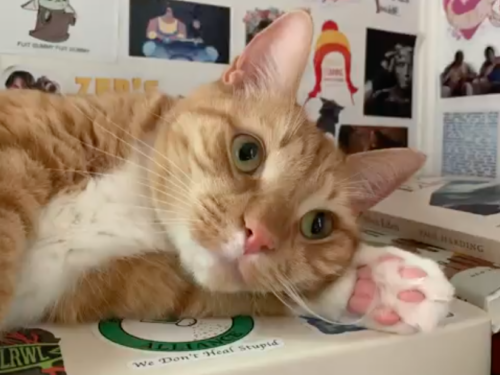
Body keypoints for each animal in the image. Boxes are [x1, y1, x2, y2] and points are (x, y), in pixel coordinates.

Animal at [0, 9, 454, 334]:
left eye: (318, 224)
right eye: (247, 152)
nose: (258, 236)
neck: (137, 208)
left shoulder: (111, 285)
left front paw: (375, 286)